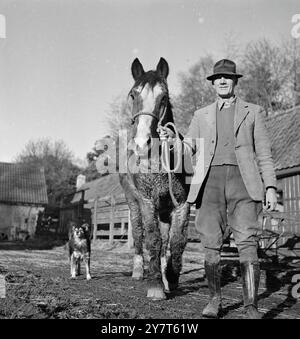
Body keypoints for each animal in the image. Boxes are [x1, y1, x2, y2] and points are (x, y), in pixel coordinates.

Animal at [119, 57, 190, 300]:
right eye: (133, 95)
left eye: (164, 97)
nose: (142, 144)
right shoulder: (147, 201)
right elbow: (153, 238)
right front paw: (156, 286)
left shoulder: (181, 204)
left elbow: (176, 242)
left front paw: (172, 279)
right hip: (133, 204)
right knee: (139, 235)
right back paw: (139, 272)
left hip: (164, 210)